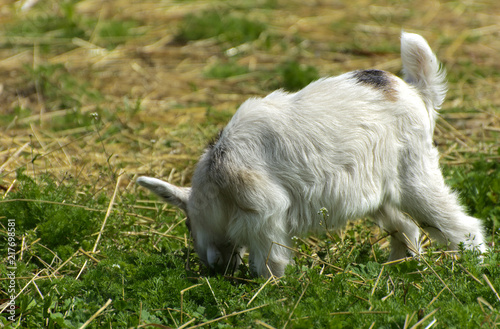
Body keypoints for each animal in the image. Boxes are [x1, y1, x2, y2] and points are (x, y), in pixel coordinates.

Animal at [137, 32, 484, 276]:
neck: (218, 173)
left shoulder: (266, 211)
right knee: (406, 228)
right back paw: (397, 271)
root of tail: (414, 91)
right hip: (378, 192)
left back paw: (476, 269)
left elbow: (269, 260)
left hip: (415, 177)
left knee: (462, 225)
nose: (214, 268)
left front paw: (269, 291)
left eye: (187, 224)